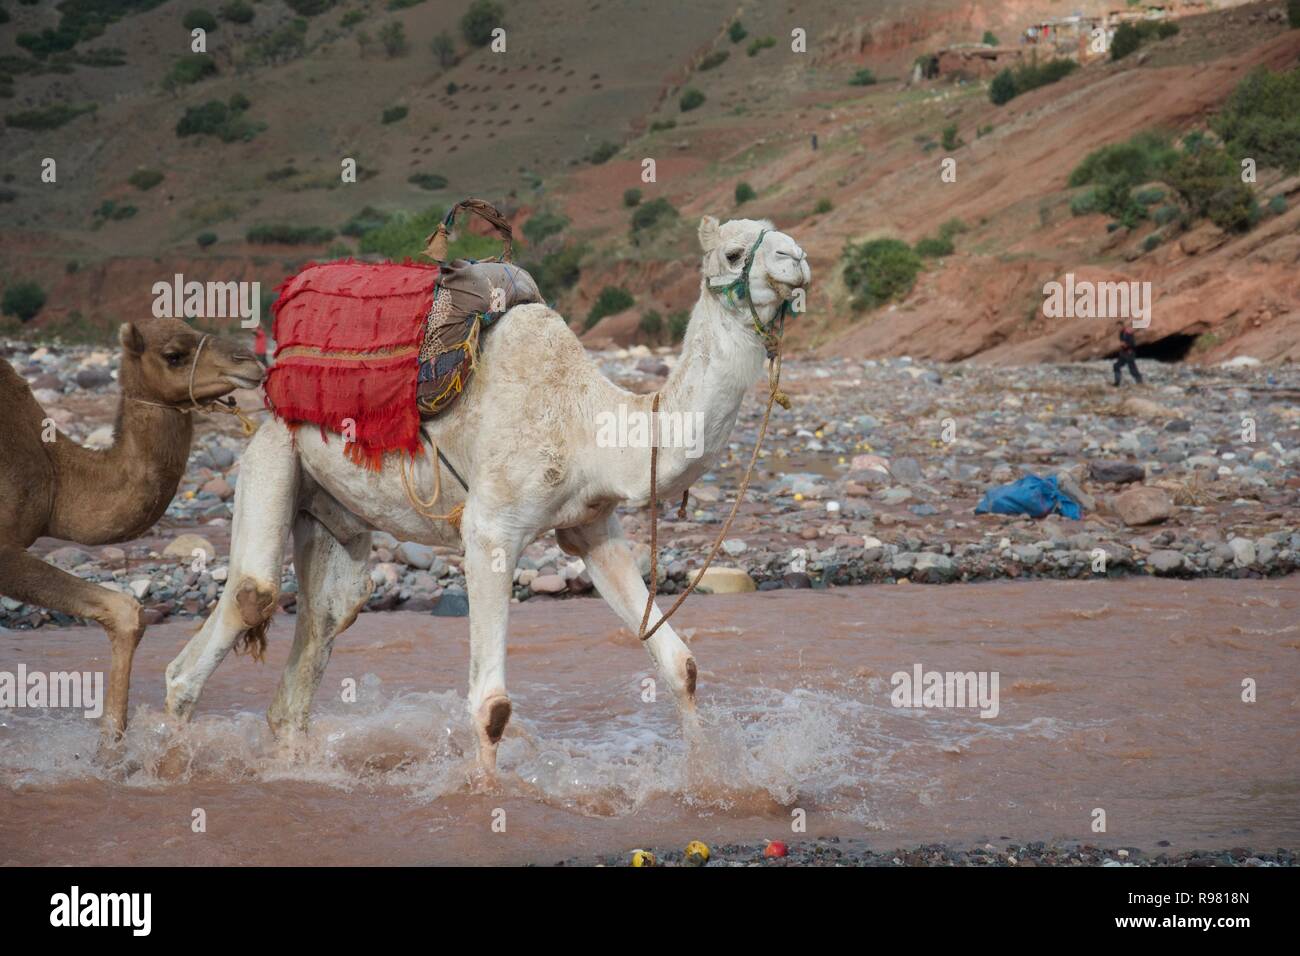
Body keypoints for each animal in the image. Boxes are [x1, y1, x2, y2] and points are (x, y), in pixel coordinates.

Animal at [0, 319, 263, 754]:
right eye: (174, 354)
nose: (251, 361)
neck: (55, 473)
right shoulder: (3, 548)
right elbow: (126, 611)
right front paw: (109, 751)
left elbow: (127, 613)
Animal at [162, 217, 811, 770]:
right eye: (734, 252)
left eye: (780, 235)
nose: (797, 258)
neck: (587, 419)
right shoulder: (491, 529)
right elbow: (492, 707)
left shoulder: (592, 525)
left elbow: (682, 666)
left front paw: (709, 779)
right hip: (273, 451)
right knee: (242, 605)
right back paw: (164, 764)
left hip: (332, 509)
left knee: (322, 629)